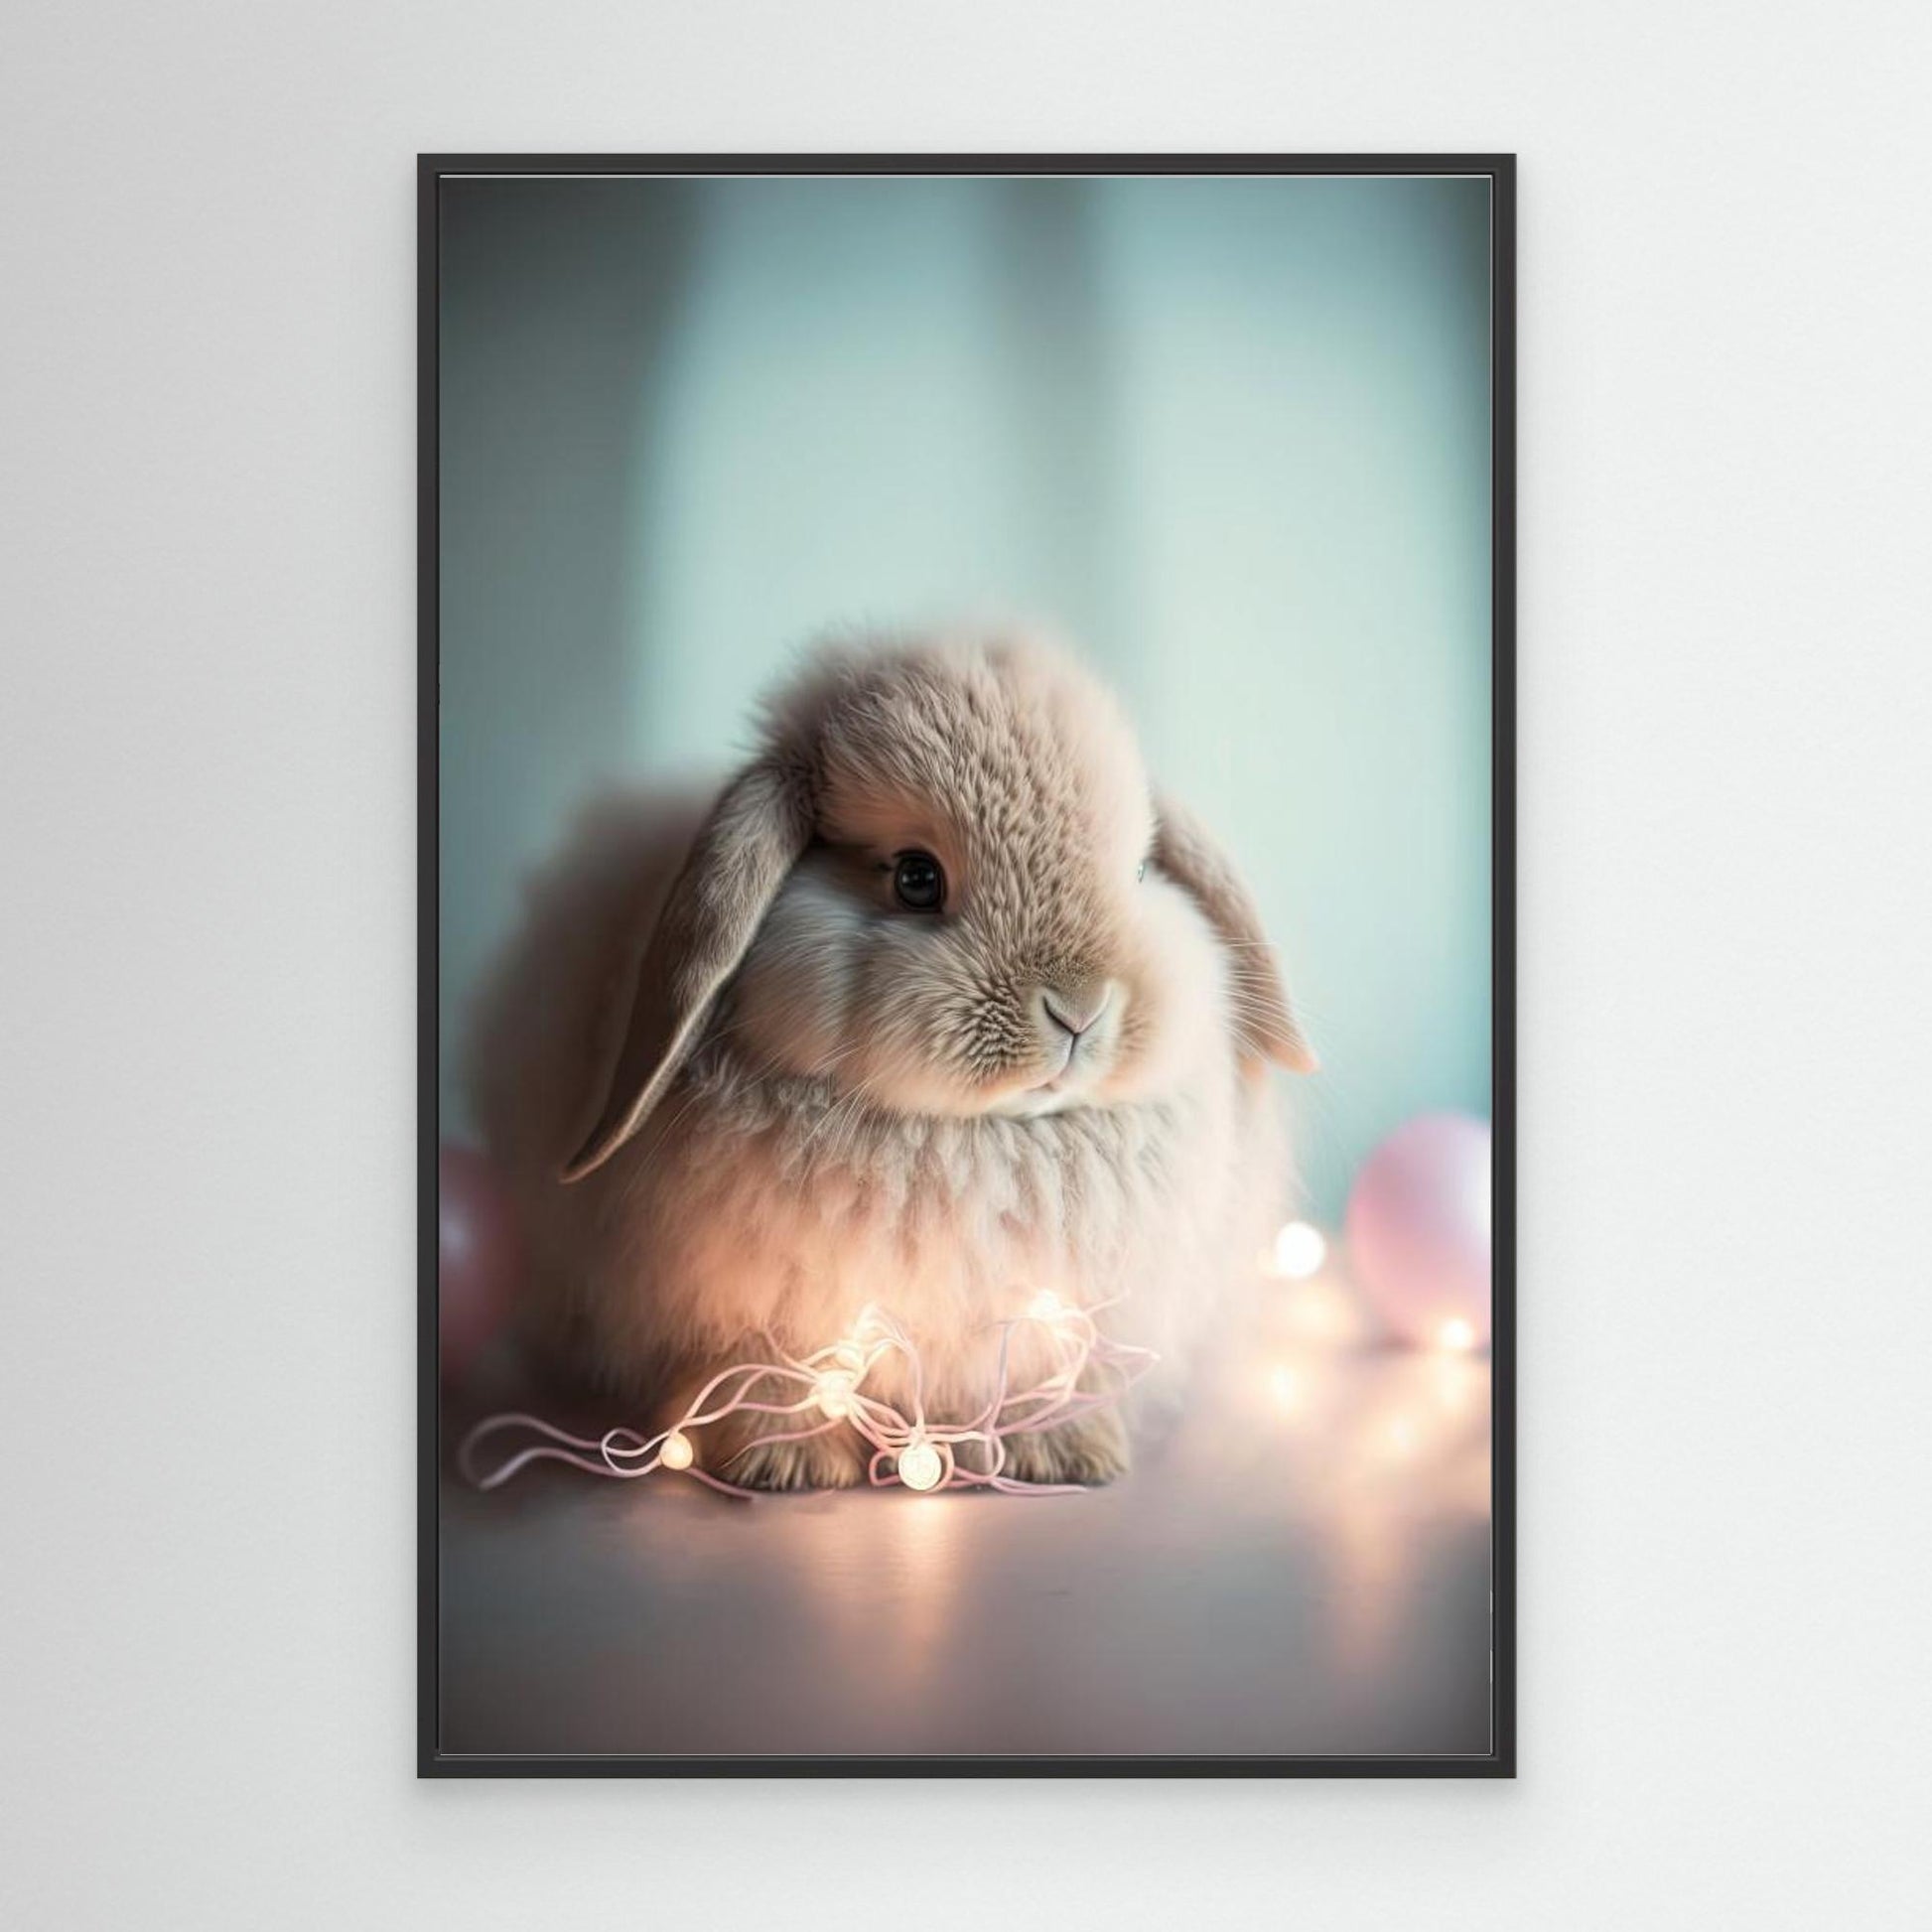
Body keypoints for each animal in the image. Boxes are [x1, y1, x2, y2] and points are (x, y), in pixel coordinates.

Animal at [464, 627, 1316, 1490]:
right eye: (915, 877)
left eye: (1140, 871)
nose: (1079, 1009)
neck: (975, 1139)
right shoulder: (751, 1311)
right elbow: (769, 1369)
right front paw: (786, 1464)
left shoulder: (1046, 1314)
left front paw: (1062, 1452)